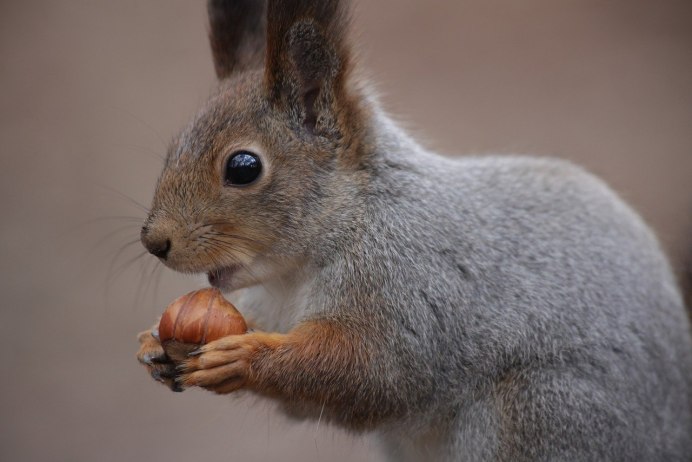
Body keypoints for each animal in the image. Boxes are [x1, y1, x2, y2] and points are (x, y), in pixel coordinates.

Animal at [137, 1, 692, 460]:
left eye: (244, 167)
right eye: (173, 147)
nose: (154, 242)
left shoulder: (406, 283)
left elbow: (371, 372)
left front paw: (241, 357)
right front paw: (153, 344)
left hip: (547, 410)